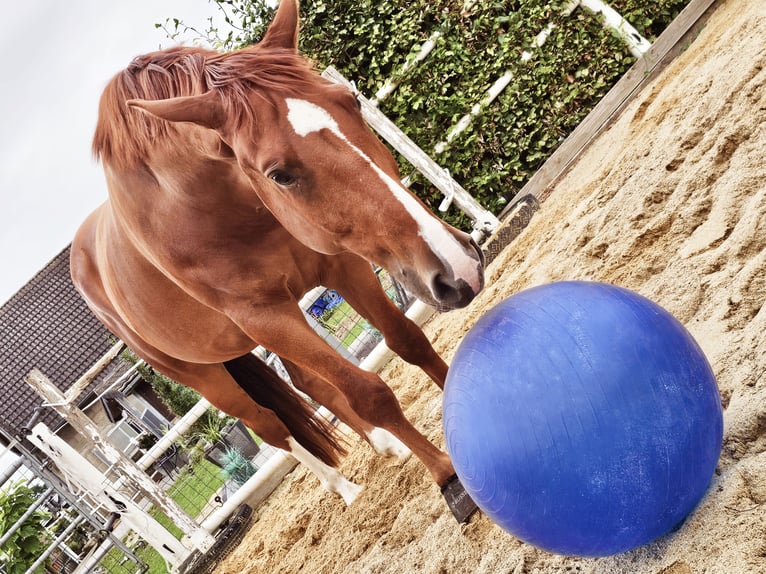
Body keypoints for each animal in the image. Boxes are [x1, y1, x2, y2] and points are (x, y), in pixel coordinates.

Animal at [71, 0, 484, 510]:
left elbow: (407, 341)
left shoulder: (341, 264)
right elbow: (367, 392)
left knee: (309, 385)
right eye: (279, 174)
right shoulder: (264, 315)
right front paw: (447, 474)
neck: (215, 207)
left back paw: (387, 445)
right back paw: (344, 487)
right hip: (205, 373)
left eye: (352, 100)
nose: (458, 266)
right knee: (268, 423)